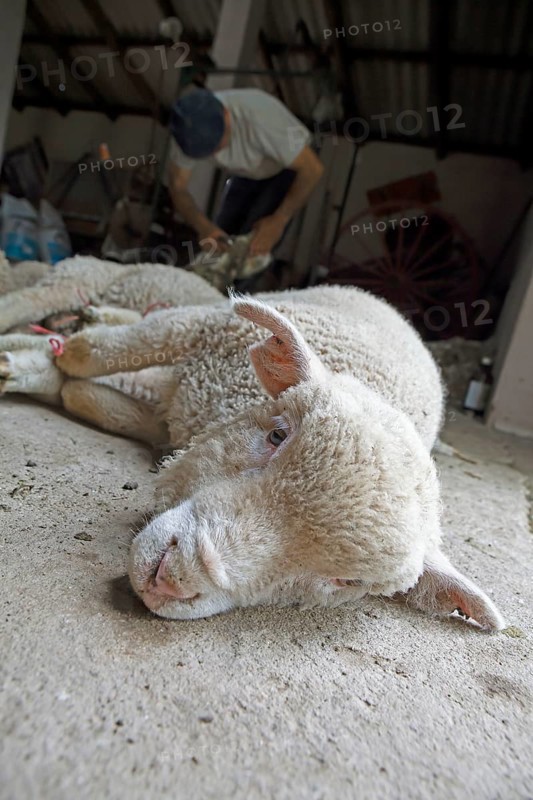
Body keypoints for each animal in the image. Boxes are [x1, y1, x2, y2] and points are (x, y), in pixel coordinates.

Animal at [0, 280, 505, 632]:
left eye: (347, 583)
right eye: (277, 435)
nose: (169, 579)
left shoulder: (173, 417)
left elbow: (98, 399)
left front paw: (45, 375)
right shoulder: (202, 329)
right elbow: (106, 350)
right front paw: (45, 356)